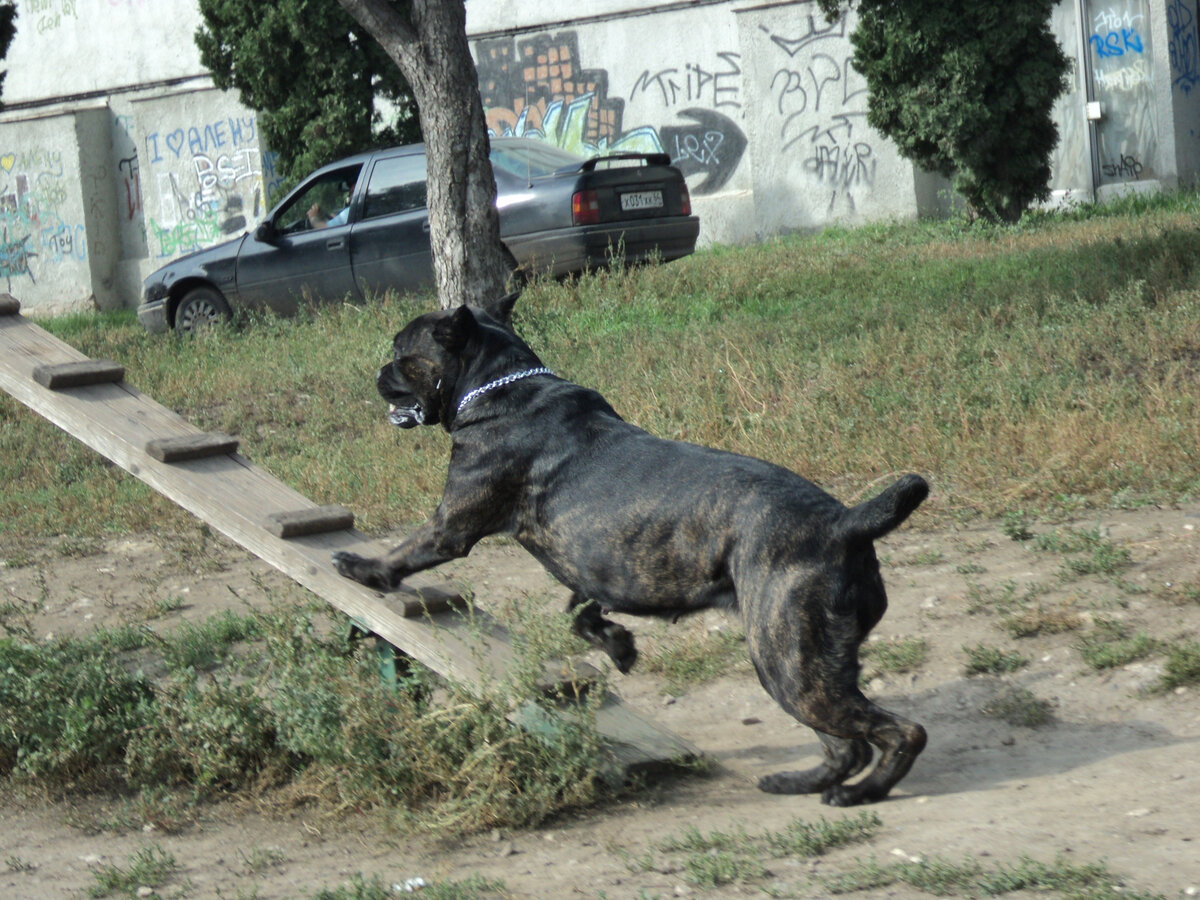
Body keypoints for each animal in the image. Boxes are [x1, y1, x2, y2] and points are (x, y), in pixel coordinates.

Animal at [333, 296, 931, 811]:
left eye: (400, 351)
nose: (377, 373)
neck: (498, 387)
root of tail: (843, 523)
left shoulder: (451, 526)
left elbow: (408, 551)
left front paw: (363, 567)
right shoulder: (589, 568)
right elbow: (579, 612)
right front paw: (619, 645)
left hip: (788, 659)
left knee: (900, 732)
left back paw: (862, 792)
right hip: (795, 665)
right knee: (845, 742)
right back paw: (802, 781)